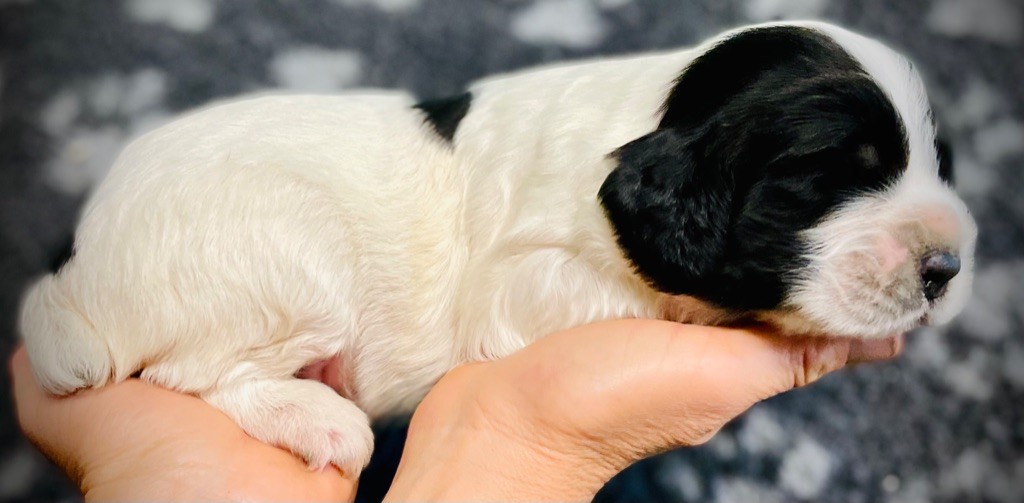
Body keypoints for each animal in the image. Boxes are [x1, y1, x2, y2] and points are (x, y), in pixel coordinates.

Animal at [20, 20, 977, 476]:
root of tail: (75, 262)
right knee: (193, 372)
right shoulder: (526, 284)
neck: (659, 109)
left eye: (939, 164)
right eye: (833, 175)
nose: (948, 269)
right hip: (288, 257)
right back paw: (318, 418)